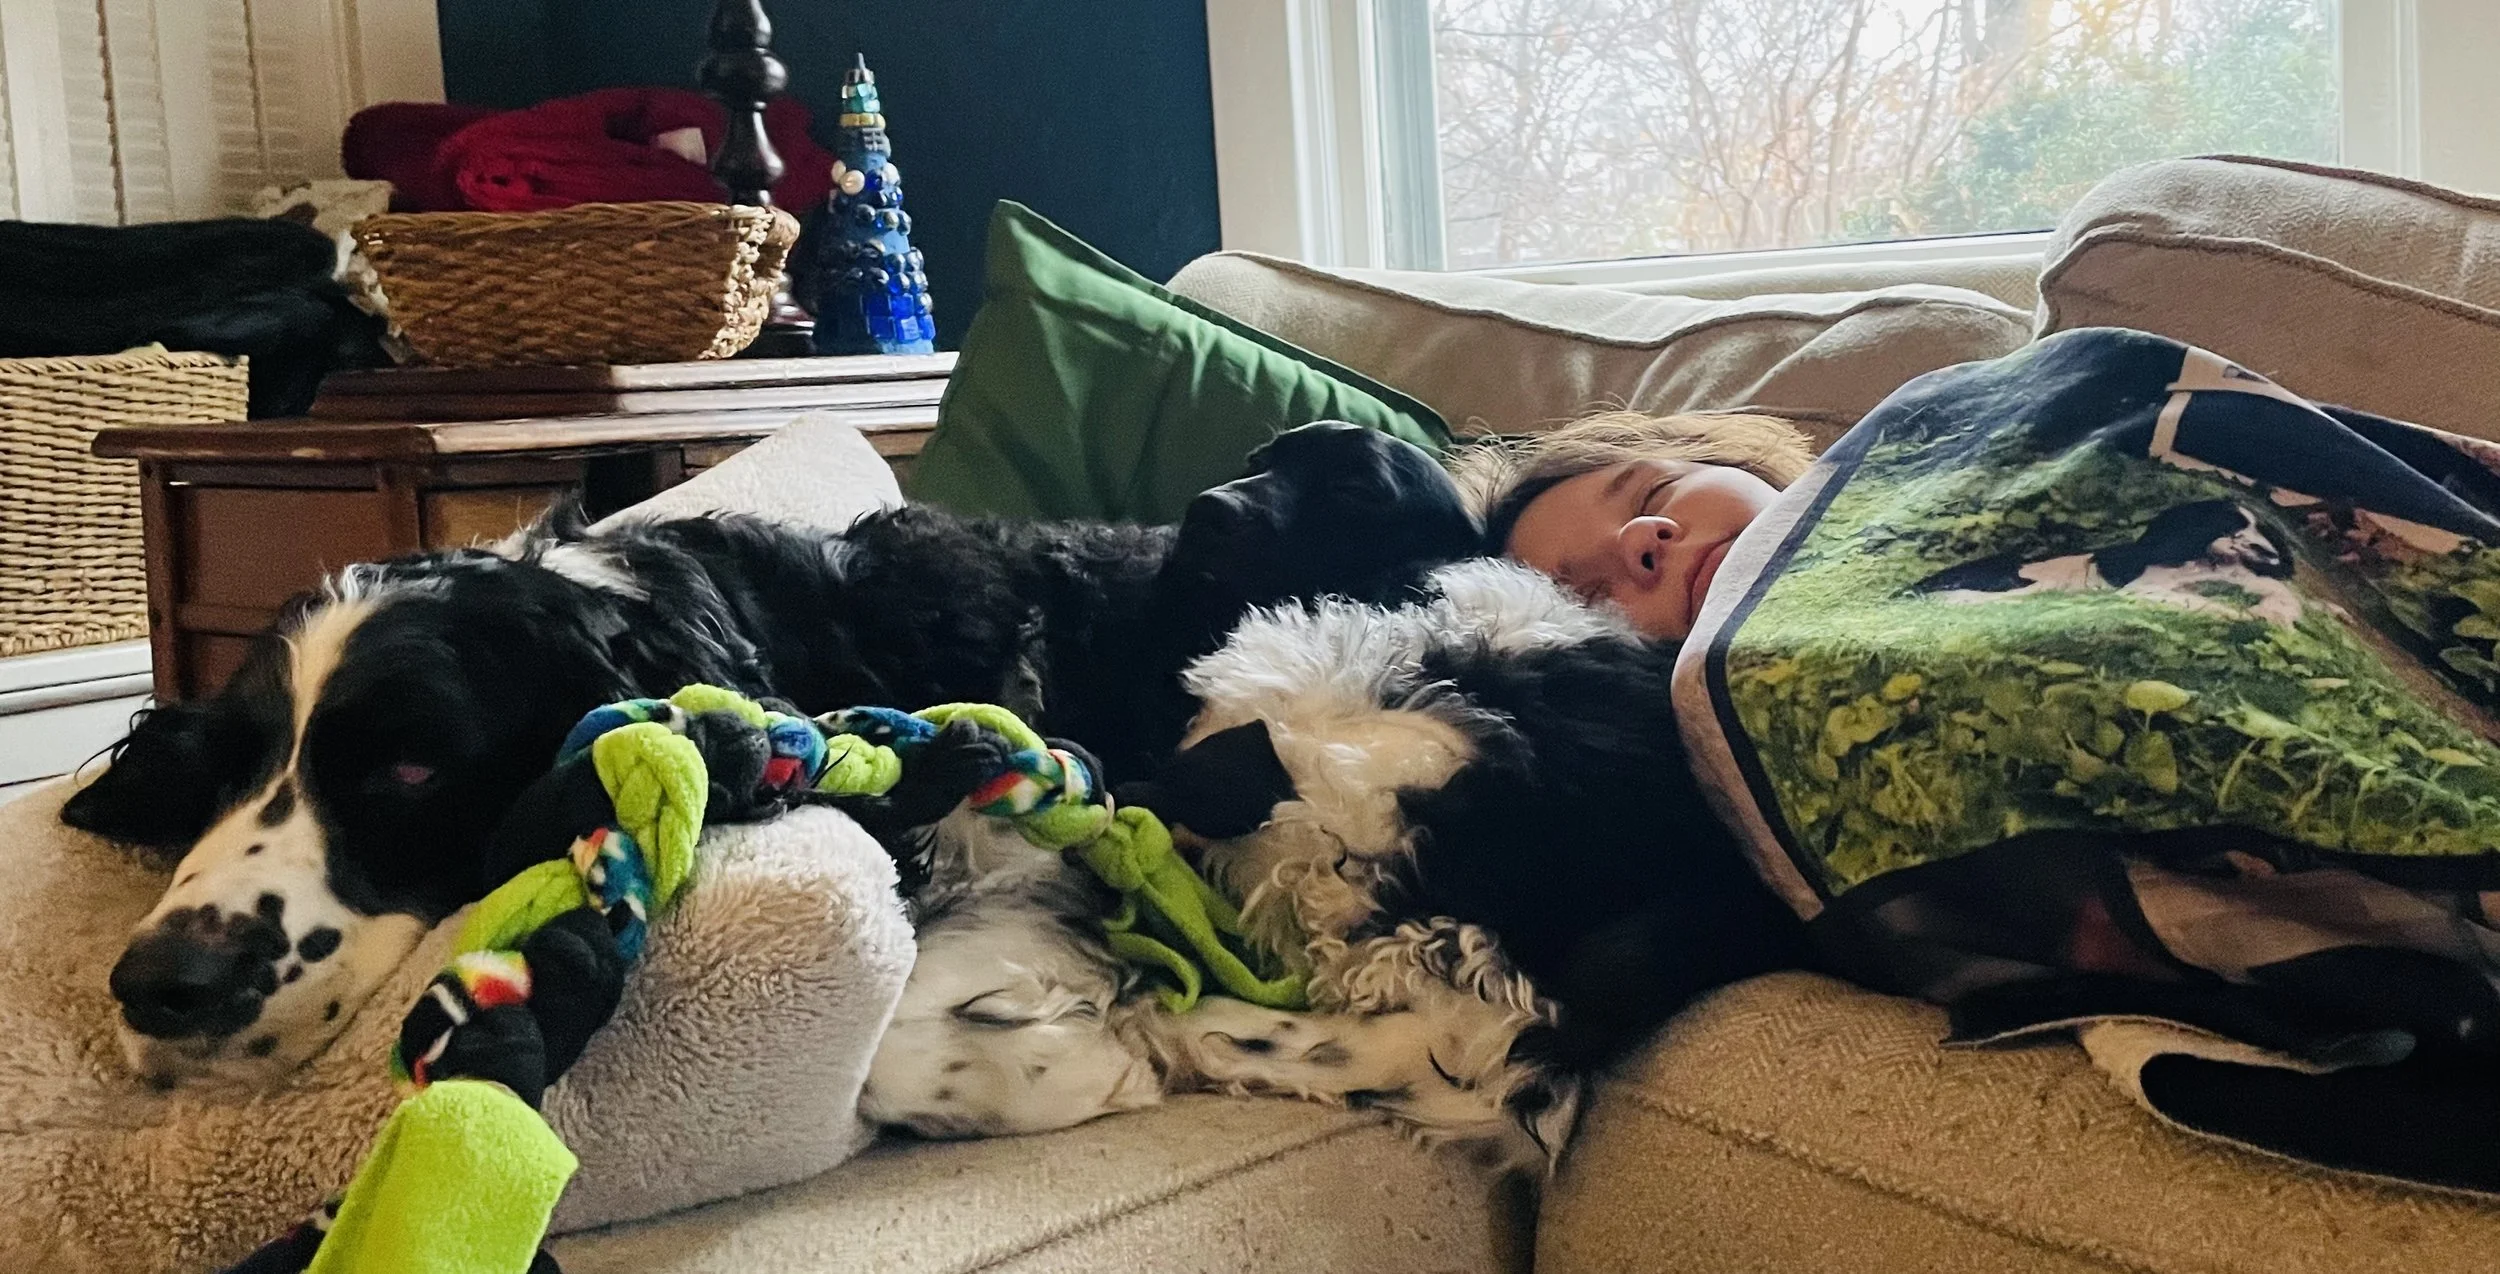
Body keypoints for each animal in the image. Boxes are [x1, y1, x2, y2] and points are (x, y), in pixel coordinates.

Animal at [1913, 499, 2302, 626]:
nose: (2270, 552)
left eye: (2261, 528)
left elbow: (2277, 594)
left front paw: (2277, 611)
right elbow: (2203, 603)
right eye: (2231, 527)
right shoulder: (2145, 590)